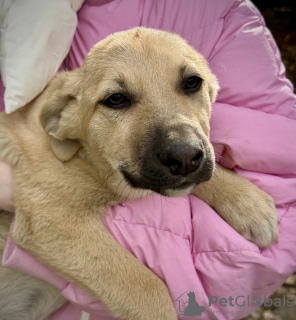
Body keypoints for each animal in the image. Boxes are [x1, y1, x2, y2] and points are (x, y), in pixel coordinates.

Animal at [0, 28, 278, 320]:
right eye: (116, 99)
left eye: (192, 82)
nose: (185, 157)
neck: (90, 161)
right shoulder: (52, 219)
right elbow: (147, 288)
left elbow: (204, 173)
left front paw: (247, 201)